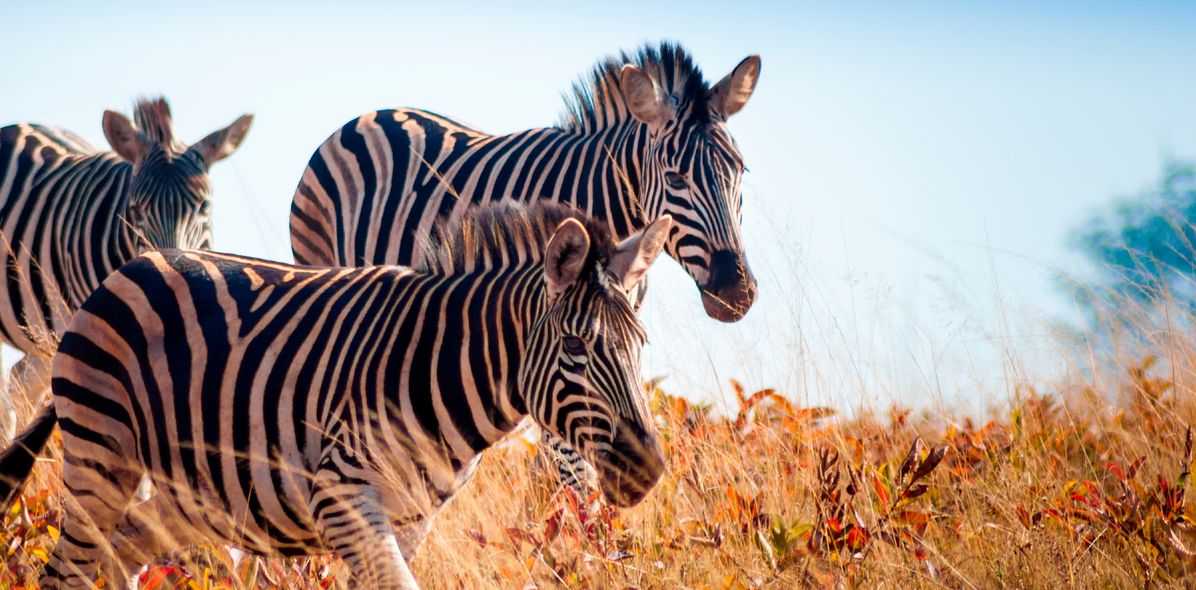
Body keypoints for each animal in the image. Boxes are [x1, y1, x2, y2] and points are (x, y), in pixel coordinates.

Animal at [0, 201, 671, 589]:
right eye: (576, 347)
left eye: (642, 344)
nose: (648, 468)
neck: (441, 367)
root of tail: (130, 266)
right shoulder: (342, 494)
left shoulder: (411, 517)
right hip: (100, 454)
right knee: (69, 570)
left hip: (193, 493)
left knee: (125, 550)